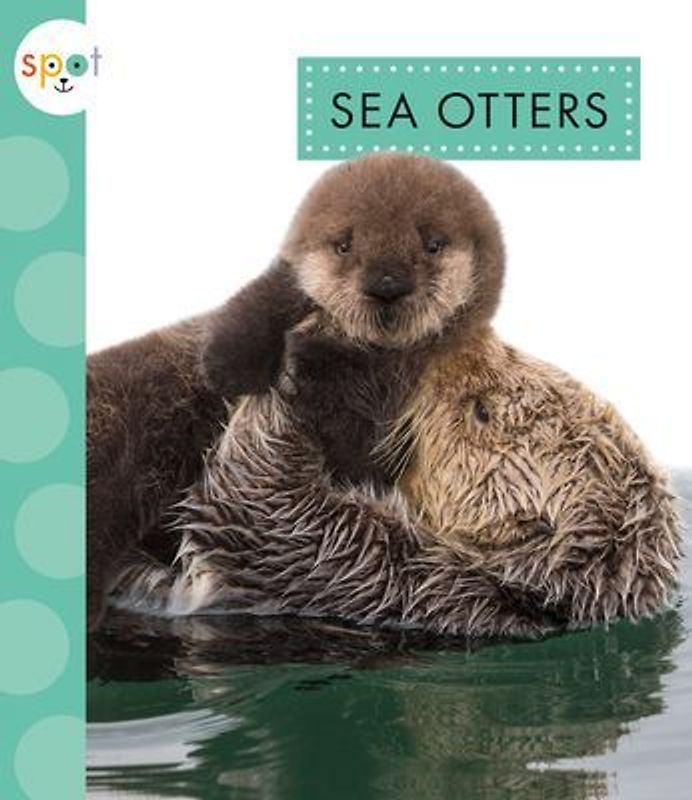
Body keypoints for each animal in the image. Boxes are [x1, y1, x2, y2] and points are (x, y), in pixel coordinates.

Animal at [88, 154, 504, 630]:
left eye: (433, 245)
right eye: (343, 246)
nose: (386, 285)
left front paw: (308, 370)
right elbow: (245, 323)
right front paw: (244, 363)